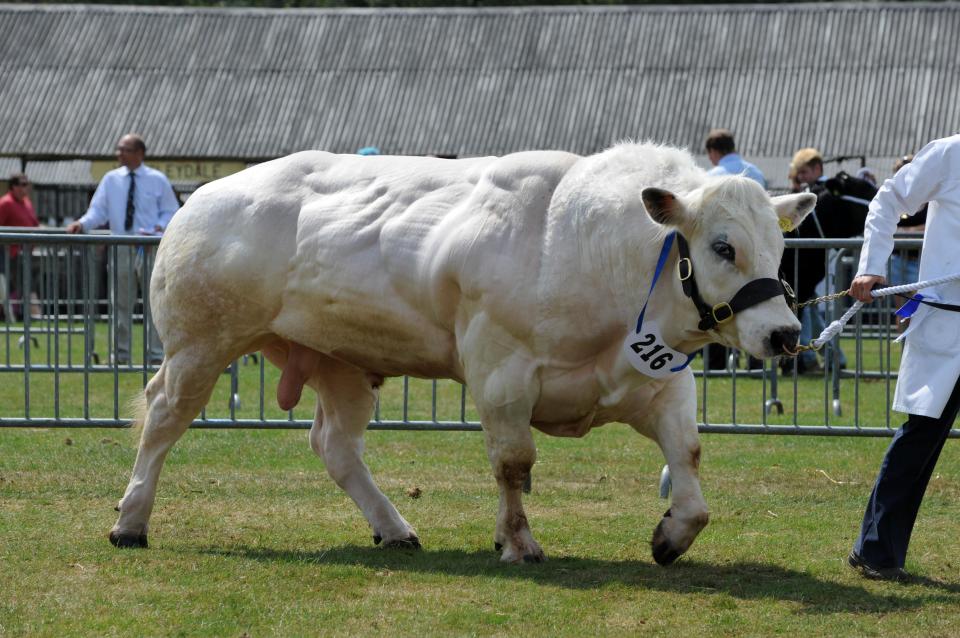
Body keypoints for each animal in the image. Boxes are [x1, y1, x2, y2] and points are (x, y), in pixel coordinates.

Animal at [109, 144, 812, 564]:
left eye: (781, 246)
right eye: (722, 246)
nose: (784, 335)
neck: (586, 249)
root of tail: (202, 198)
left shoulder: (661, 380)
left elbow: (688, 462)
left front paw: (671, 535)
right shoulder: (500, 371)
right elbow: (513, 463)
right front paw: (518, 542)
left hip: (340, 362)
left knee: (337, 447)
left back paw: (393, 527)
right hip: (199, 345)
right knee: (162, 422)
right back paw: (130, 520)